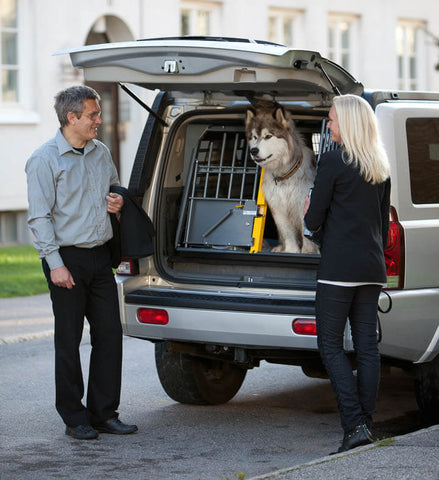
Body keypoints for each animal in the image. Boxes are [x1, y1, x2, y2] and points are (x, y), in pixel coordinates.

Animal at [246, 107, 318, 253]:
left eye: (268, 136)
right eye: (254, 137)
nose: (253, 151)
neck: (285, 175)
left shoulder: (303, 205)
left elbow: (305, 234)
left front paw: (307, 253)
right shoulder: (279, 208)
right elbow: (287, 233)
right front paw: (290, 250)